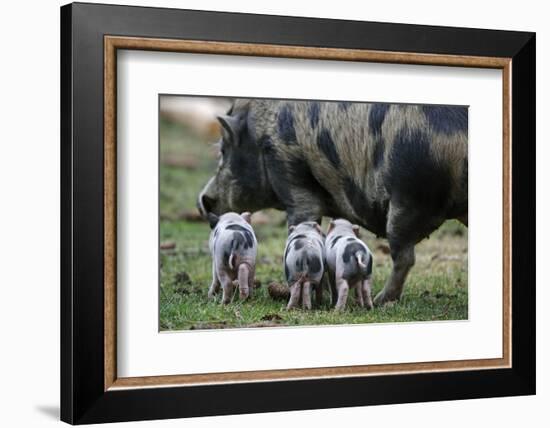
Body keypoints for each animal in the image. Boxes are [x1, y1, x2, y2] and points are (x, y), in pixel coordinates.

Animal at [197, 98, 466, 304]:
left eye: (224, 151)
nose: (203, 201)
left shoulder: (289, 171)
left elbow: (302, 216)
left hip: (407, 198)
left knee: (404, 256)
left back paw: (381, 300)